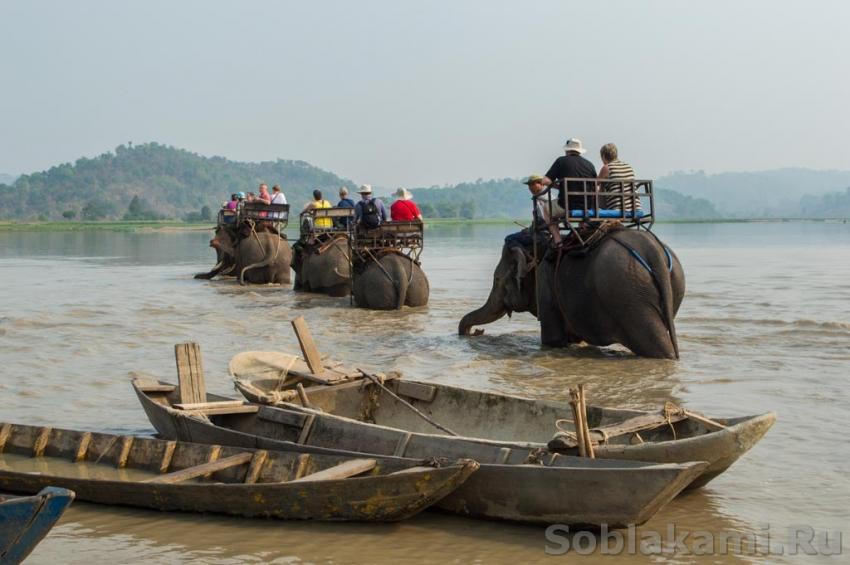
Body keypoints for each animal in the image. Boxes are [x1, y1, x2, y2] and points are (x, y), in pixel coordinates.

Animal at [458, 228, 684, 356]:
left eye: (496, 279)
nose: (474, 332)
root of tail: (653, 249)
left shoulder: (546, 283)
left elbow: (552, 339)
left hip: (629, 297)